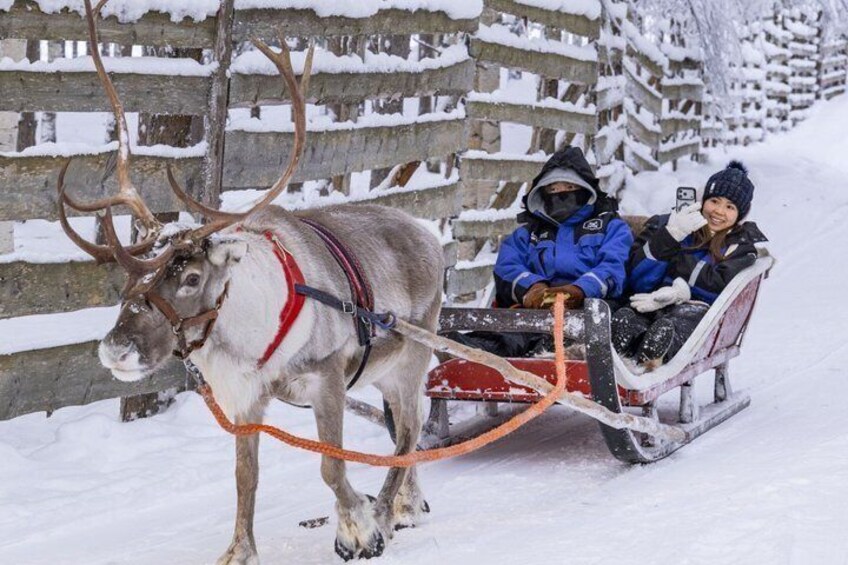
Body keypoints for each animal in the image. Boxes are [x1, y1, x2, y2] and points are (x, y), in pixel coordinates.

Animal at [59, 2, 444, 562]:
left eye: (191, 276)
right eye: (128, 285)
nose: (116, 350)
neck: (245, 335)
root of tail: (430, 236)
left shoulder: (327, 378)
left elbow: (331, 464)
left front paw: (359, 528)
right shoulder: (245, 402)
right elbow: (245, 478)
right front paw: (239, 550)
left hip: (414, 353)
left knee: (410, 430)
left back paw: (388, 515)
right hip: (387, 372)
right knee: (403, 430)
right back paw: (408, 505)